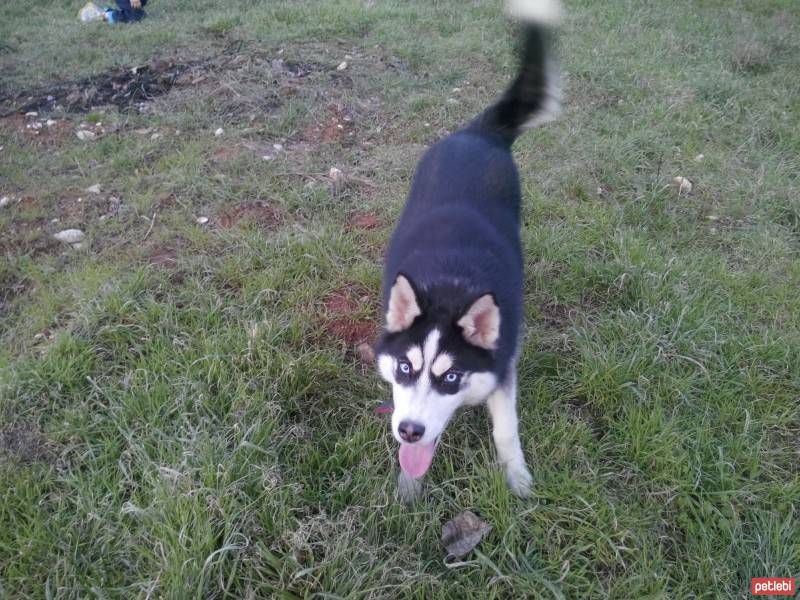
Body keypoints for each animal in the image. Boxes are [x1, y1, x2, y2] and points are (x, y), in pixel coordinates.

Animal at [376, 0, 564, 500]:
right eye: (404, 368)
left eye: (451, 378)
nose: (410, 430)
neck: (449, 287)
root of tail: (477, 131)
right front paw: (409, 487)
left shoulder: (502, 367)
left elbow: (506, 429)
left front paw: (517, 480)